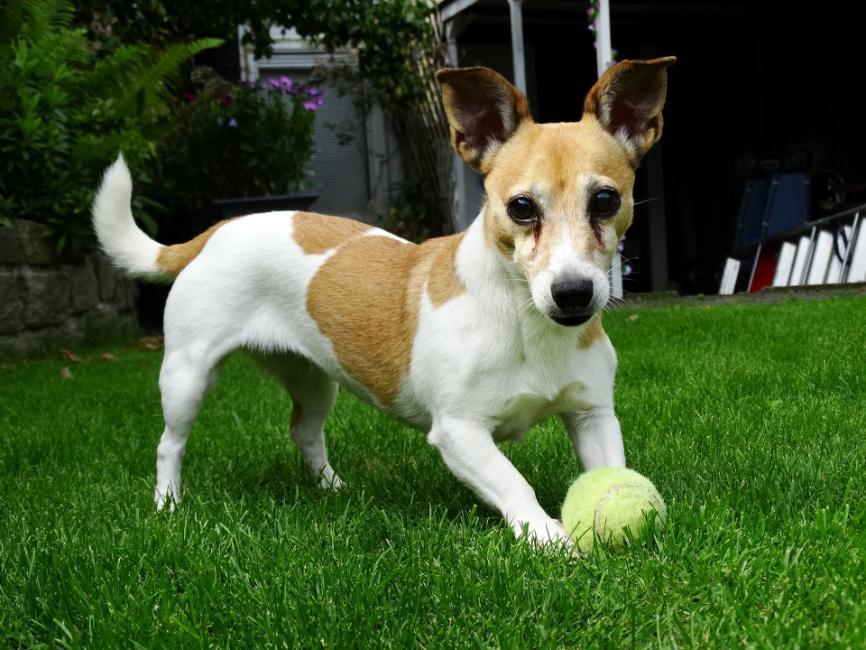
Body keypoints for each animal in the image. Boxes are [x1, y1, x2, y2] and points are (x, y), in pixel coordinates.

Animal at [94, 55, 676, 544]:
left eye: (606, 199)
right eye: (521, 207)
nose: (573, 292)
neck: (527, 322)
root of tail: (219, 229)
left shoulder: (593, 415)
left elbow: (612, 469)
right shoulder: (459, 432)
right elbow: (514, 483)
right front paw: (548, 537)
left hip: (313, 378)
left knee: (304, 432)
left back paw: (332, 489)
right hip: (187, 376)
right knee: (169, 444)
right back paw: (168, 506)